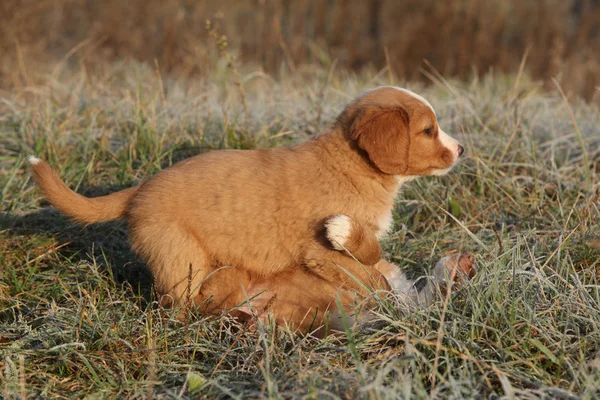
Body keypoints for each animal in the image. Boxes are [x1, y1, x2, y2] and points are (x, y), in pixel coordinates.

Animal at [28, 86, 466, 334]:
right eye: (428, 131)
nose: (462, 149)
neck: (350, 164)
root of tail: (141, 188)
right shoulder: (320, 253)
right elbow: (369, 267)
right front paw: (374, 277)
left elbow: (373, 261)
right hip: (181, 258)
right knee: (178, 306)